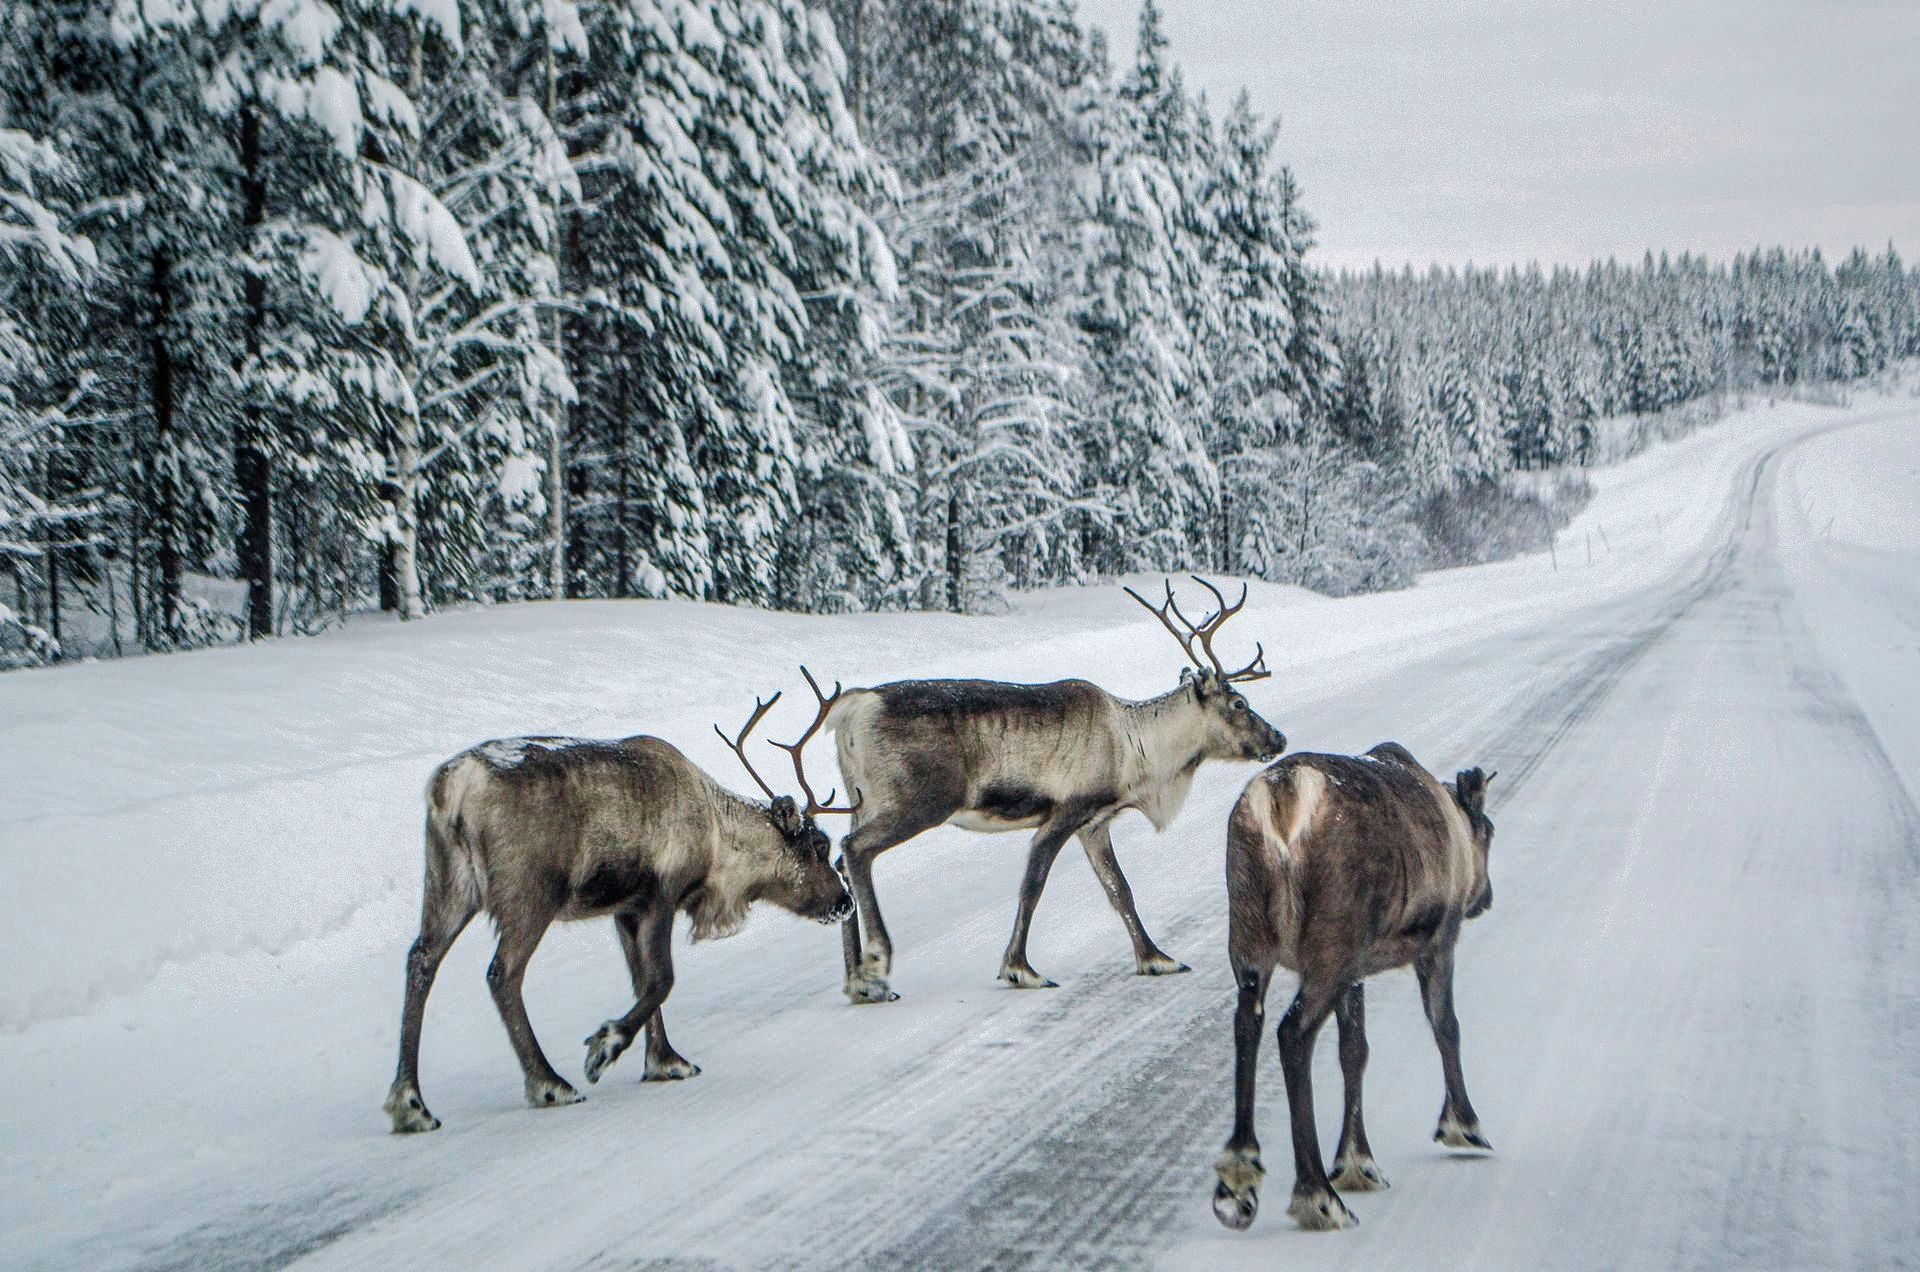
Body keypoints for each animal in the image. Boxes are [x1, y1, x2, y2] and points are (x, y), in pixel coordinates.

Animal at [383, 684, 855, 1134]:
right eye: (819, 845)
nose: (845, 902)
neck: (716, 843)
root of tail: (452, 788)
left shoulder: (625, 910)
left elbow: (643, 979)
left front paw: (665, 1061)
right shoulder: (660, 894)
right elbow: (663, 979)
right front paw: (606, 1046)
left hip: (449, 882)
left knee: (421, 959)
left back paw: (411, 1105)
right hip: (528, 892)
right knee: (503, 973)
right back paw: (550, 1084)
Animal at [823, 577, 1288, 1003]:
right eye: (1240, 704)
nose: (1279, 738)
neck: (1136, 751)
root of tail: (853, 708)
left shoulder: (1095, 824)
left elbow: (1120, 890)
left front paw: (1158, 959)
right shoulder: (1065, 813)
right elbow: (1033, 885)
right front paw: (1021, 969)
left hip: (862, 801)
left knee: (842, 860)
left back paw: (856, 980)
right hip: (917, 803)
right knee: (855, 849)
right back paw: (875, 969)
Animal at [1211, 746, 1497, 1232]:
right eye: (1490, 832)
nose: (1486, 898)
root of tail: (1282, 798)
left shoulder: (1357, 971)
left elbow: (1354, 1052)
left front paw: (1357, 1164)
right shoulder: (1439, 941)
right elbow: (1446, 1026)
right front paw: (1464, 1126)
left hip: (1251, 936)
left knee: (1247, 1023)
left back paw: (1240, 1176)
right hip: (1332, 943)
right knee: (1292, 1034)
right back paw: (1318, 1196)